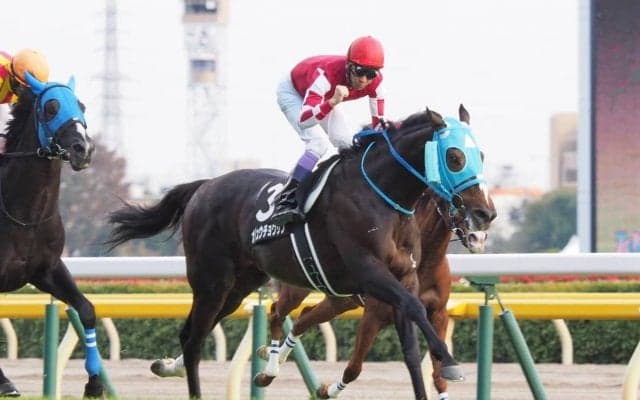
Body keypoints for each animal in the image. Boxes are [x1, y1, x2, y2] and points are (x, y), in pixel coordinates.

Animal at [0, 72, 101, 397]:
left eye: (82, 105)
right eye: (51, 108)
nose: (84, 149)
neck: (25, 216)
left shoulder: (47, 270)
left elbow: (86, 309)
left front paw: (94, 384)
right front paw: (5, 382)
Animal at [106, 104, 496, 399]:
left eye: (481, 154)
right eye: (455, 156)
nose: (485, 214)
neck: (383, 198)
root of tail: (205, 185)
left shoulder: (403, 280)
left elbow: (412, 351)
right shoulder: (371, 274)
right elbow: (412, 312)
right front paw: (450, 362)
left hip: (239, 286)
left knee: (193, 333)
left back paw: (168, 365)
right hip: (212, 281)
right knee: (200, 337)